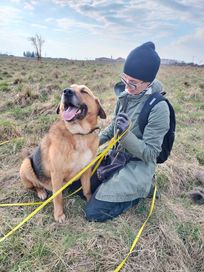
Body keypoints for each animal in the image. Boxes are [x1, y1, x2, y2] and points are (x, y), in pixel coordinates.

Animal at [19, 84, 107, 222]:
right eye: (69, 88)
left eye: (84, 91)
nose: (66, 91)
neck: (78, 134)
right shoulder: (56, 173)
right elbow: (58, 197)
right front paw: (59, 214)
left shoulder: (86, 170)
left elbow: (87, 188)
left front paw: (89, 199)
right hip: (26, 165)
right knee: (36, 184)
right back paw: (41, 192)